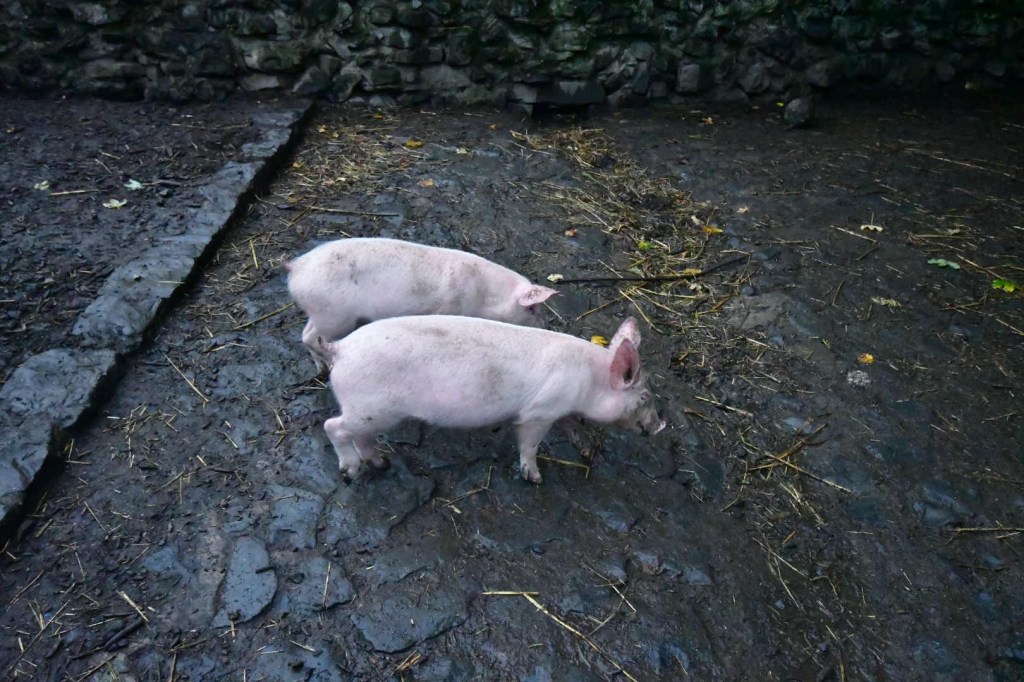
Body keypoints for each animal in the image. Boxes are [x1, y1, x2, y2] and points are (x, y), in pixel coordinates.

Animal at [285, 238, 559, 373]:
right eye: (532, 308)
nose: (546, 326)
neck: (486, 295)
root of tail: (297, 266)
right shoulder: (450, 308)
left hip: (321, 313)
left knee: (305, 333)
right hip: (334, 315)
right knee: (309, 336)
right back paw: (324, 366)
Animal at [317, 315, 666, 484]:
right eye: (644, 397)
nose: (660, 426)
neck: (591, 379)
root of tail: (339, 348)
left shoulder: (563, 410)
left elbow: (572, 426)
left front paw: (587, 452)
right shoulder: (539, 412)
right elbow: (530, 444)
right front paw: (535, 478)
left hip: (370, 413)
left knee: (361, 437)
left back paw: (381, 464)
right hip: (372, 408)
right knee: (332, 426)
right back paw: (350, 472)